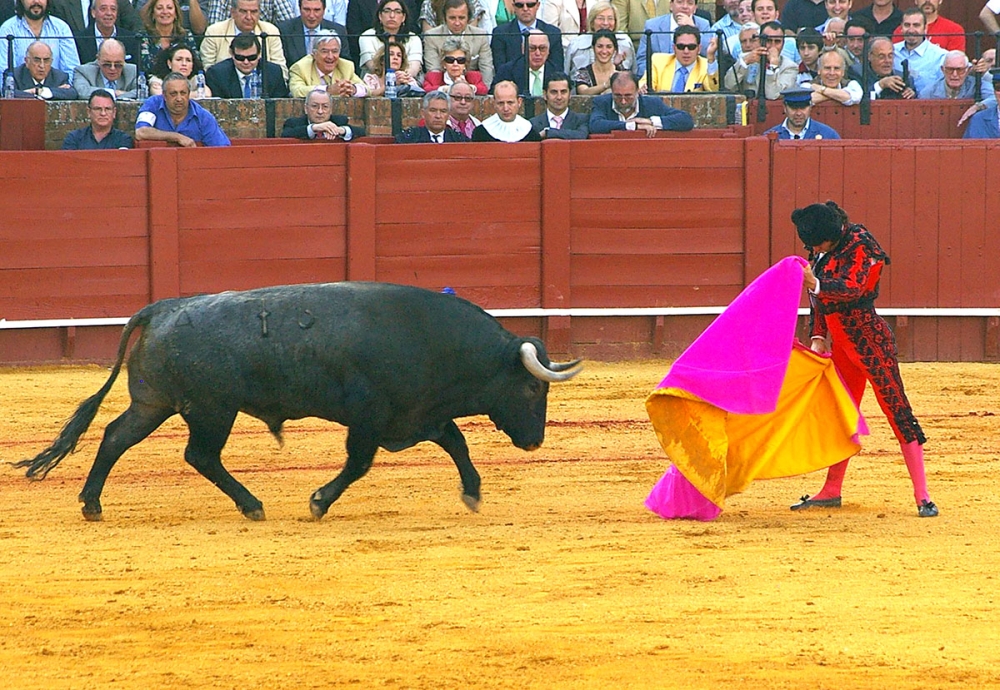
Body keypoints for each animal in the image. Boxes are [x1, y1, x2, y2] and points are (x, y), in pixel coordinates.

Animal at [14, 282, 582, 521]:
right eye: (534, 387)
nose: (535, 441)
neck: (436, 340)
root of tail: (162, 308)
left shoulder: (419, 415)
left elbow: (458, 445)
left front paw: (473, 494)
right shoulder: (371, 418)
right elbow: (358, 464)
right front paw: (318, 502)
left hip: (155, 403)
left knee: (115, 437)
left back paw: (91, 504)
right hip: (211, 410)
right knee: (199, 455)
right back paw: (252, 505)